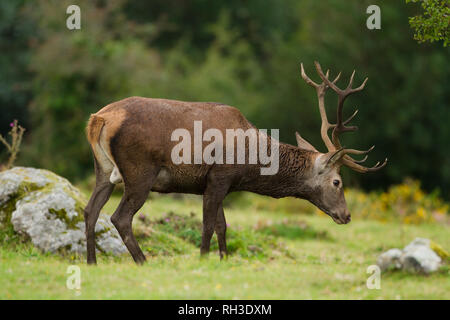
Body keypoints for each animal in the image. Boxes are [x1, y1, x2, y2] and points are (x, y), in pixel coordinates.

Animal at [84, 61, 386, 264]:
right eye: (337, 182)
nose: (346, 215)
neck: (249, 162)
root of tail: (100, 118)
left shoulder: (218, 184)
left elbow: (222, 225)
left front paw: (223, 261)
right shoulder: (220, 176)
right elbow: (207, 225)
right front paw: (203, 261)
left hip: (103, 170)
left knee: (90, 210)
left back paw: (92, 262)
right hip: (140, 171)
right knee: (120, 217)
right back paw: (143, 261)